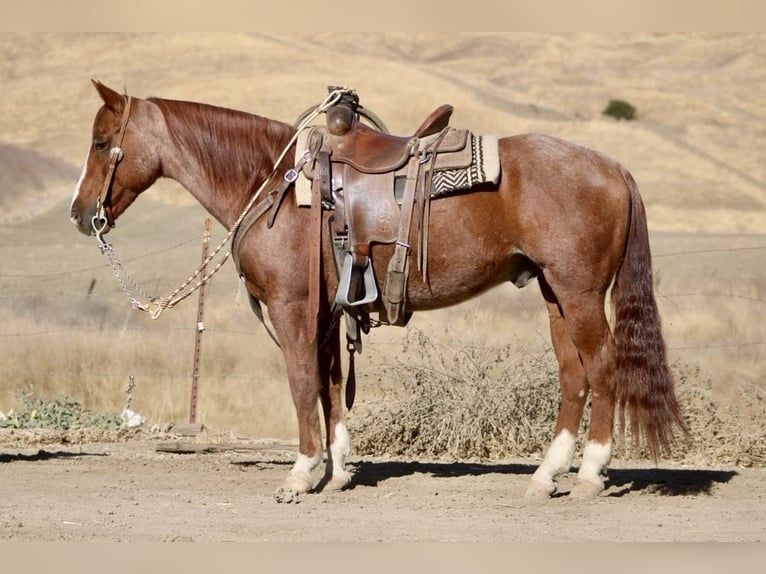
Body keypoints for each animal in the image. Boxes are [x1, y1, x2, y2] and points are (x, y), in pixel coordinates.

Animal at [70, 80, 686, 501]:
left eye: (101, 142)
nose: (80, 214)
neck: (270, 186)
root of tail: (613, 168)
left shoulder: (293, 309)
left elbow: (301, 385)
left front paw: (300, 475)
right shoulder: (326, 311)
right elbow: (328, 384)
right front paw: (338, 470)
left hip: (580, 294)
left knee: (603, 369)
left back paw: (590, 475)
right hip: (556, 295)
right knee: (573, 376)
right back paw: (545, 475)